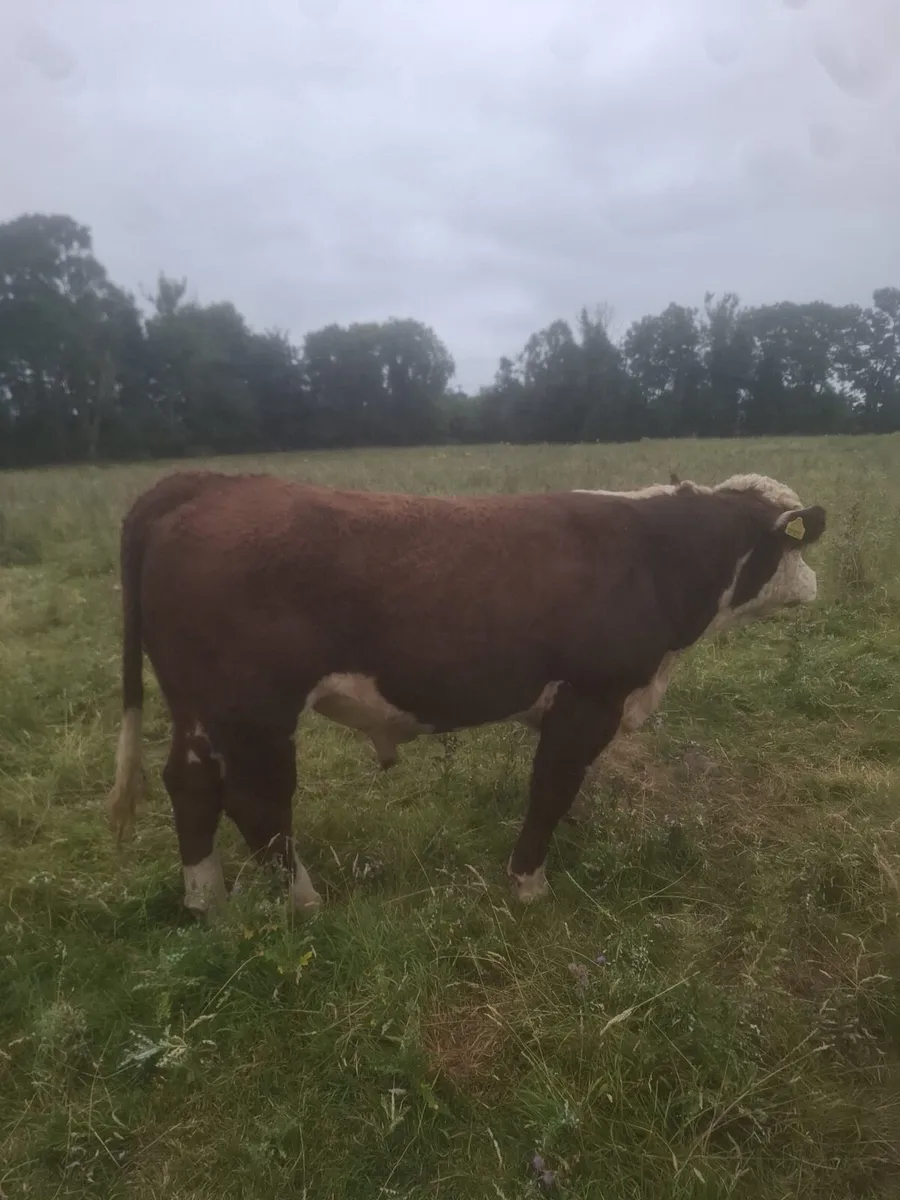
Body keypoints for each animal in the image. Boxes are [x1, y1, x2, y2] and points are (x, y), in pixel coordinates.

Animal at [106, 468, 826, 920]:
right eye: (793, 544)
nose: (814, 585)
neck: (654, 556)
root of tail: (207, 483)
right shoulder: (590, 696)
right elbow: (552, 790)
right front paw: (528, 884)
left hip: (199, 708)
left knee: (191, 785)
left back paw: (207, 902)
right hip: (254, 711)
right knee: (258, 804)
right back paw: (304, 903)